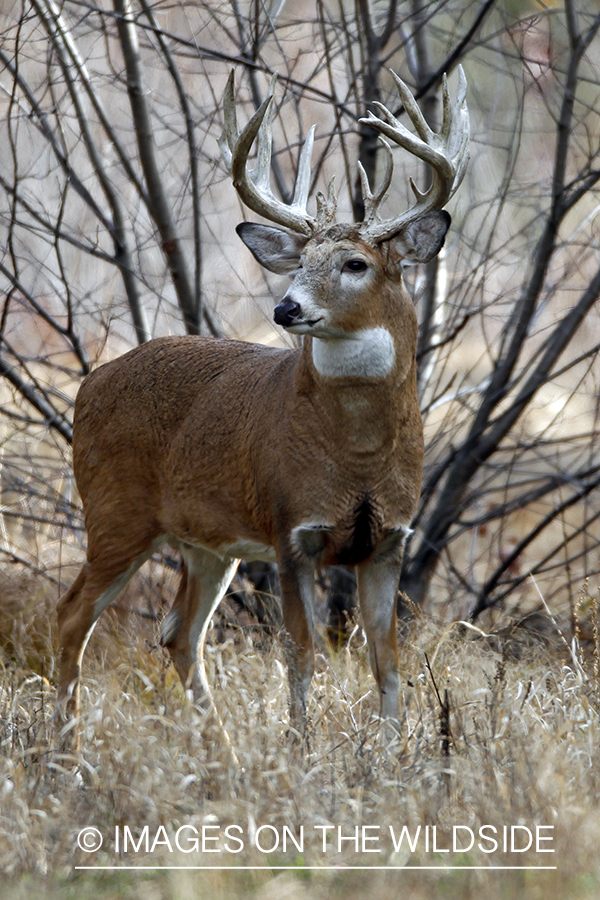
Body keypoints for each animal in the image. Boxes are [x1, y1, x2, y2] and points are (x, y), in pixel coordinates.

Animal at [56, 65, 468, 740]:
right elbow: (301, 653)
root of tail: (89, 383)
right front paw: (300, 748)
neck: (358, 455)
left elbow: (387, 662)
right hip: (115, 511)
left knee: (179, 634)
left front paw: (394, 751)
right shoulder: (289, 526)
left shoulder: (390, 538)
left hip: (204, 540)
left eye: (356, 263)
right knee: (73, 615)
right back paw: (65, 744)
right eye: (298, 263)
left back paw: (217, 745)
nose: (286, 307)